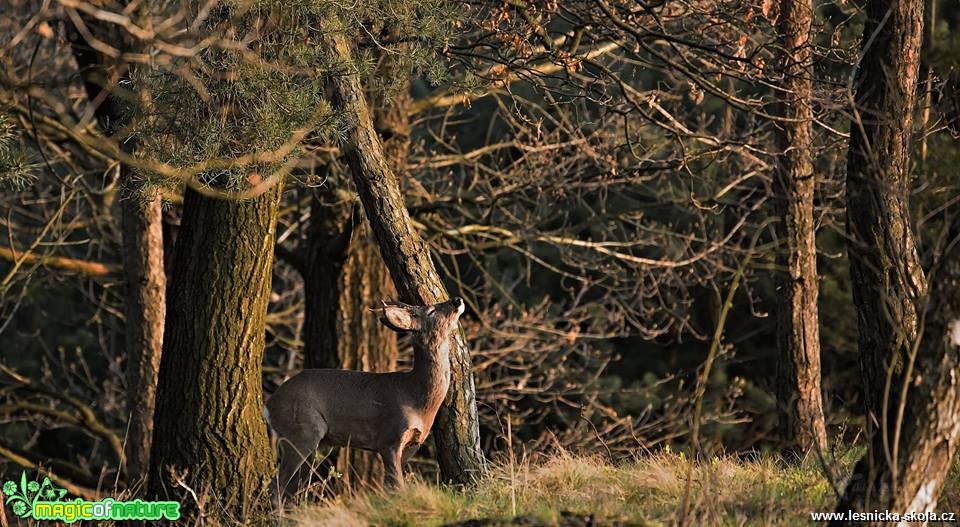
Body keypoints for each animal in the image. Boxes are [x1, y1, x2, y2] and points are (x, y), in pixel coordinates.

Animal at [266, 300, 464, 498]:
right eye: (431, 311)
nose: (457, 300)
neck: (416, 397)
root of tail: (268, 405)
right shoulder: (389, 437)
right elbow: (396, 485)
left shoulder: (413, 443)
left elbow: (390, 485)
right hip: (301, 430)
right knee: (275, 487)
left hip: (315, 444)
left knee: (290, 489)